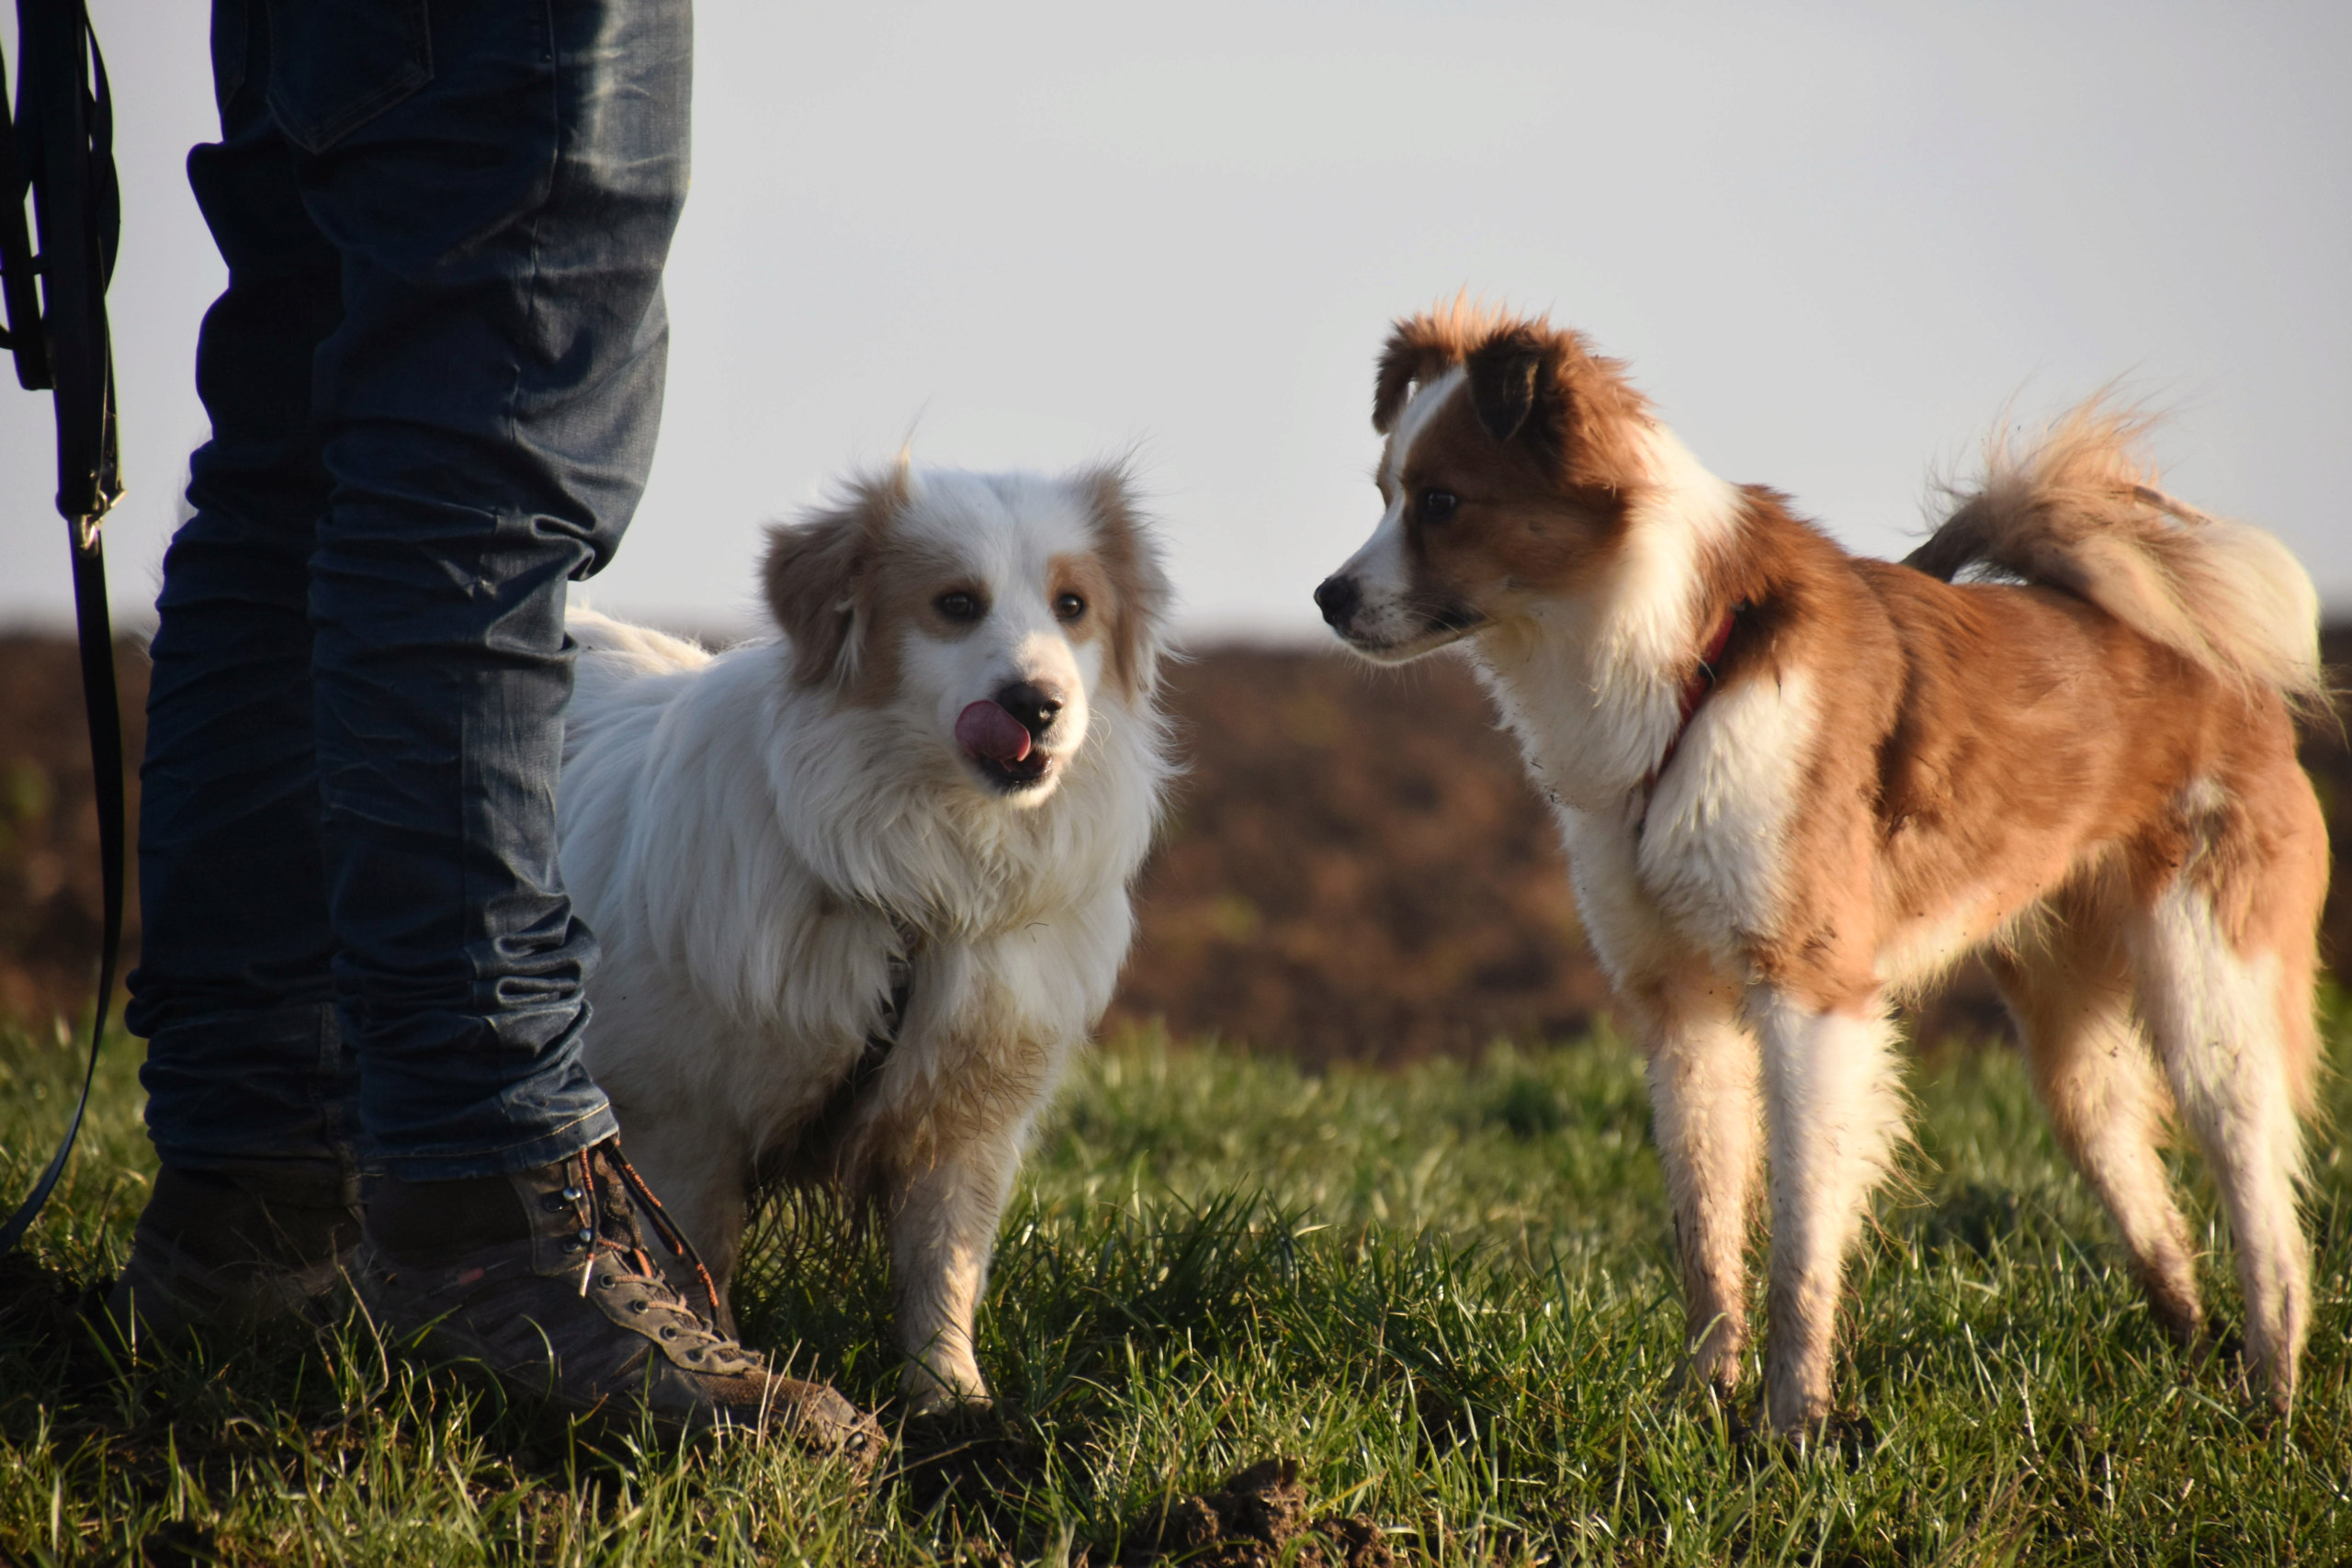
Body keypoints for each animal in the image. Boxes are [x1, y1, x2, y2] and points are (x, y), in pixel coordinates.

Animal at [552, 463, 1176, 1410]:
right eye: (956, 603)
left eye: (1073, 605)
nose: (1036, 704)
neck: (919, 882)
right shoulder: (682, 1124)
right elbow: (702, 1261)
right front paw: (729, 1369)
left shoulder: (964, 1125)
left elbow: (943, 1270)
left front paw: (954, 1405)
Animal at [1326, 303, 2333, 1438]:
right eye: (1384, 493)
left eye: (1441, 501)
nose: (1325, 597)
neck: (1675, 667)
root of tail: (2212, 660)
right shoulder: (1679, 1006)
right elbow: (1707, 1236)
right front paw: (1696, 1409)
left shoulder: (1810, 994)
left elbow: (1801, 1241)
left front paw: (1792, 1431)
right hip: (2072, 1052)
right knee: (2145, 1191)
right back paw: (2187, 1355)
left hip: (2211, 1000)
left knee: (2268, 1216)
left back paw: (2268, 1405)